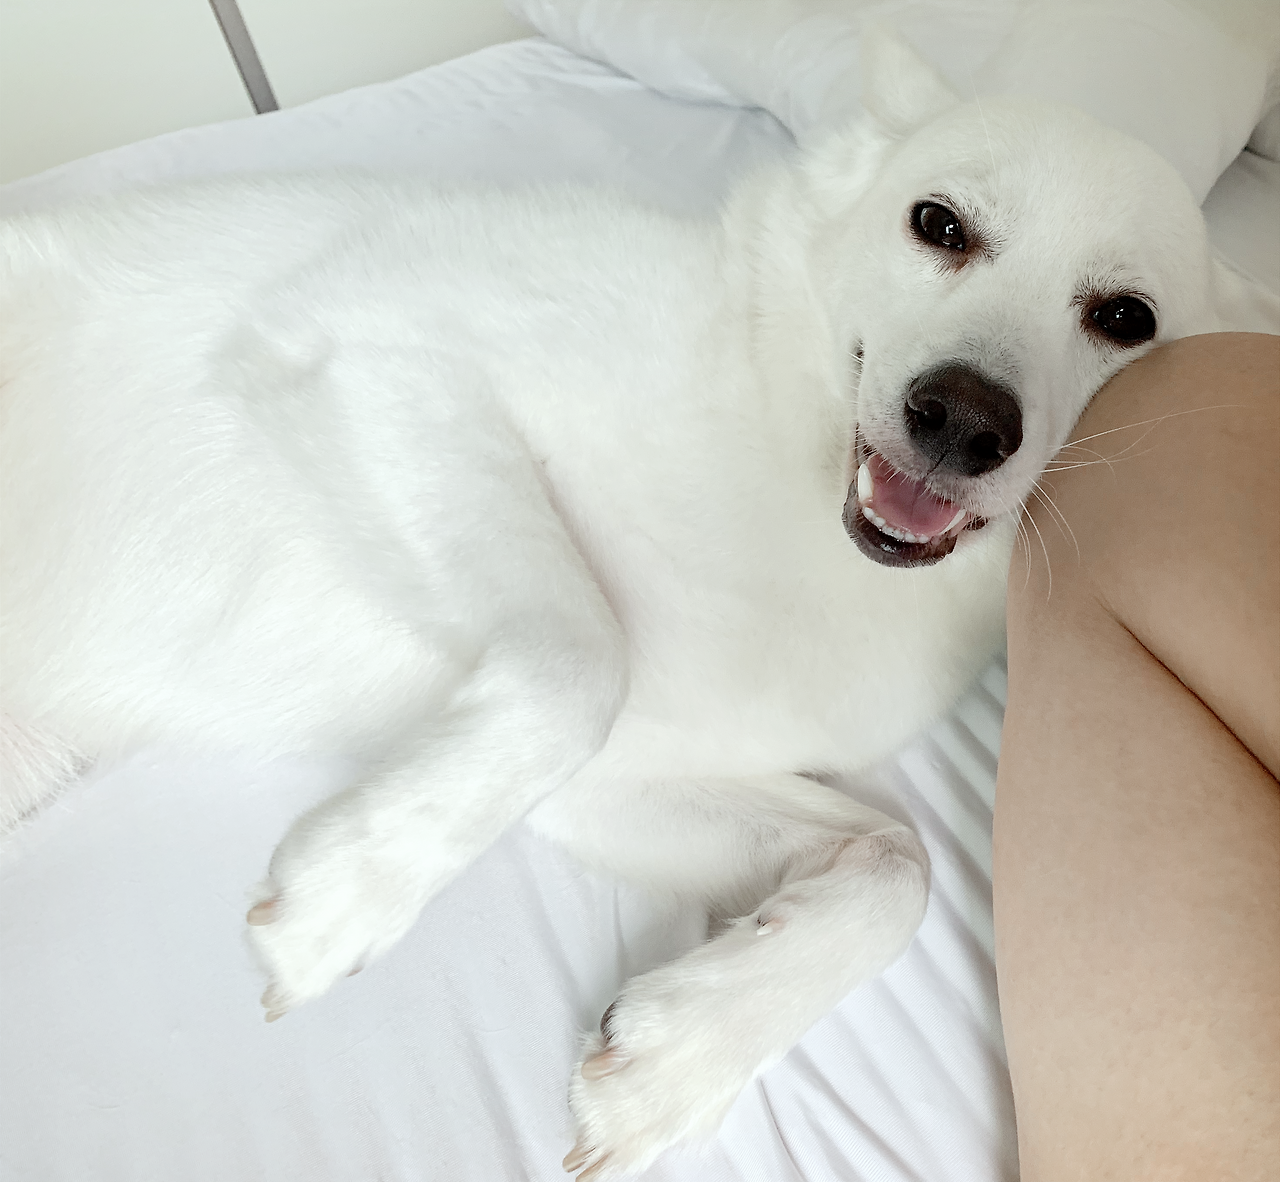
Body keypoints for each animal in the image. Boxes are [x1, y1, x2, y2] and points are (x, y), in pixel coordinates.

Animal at [0, 30, 1228, 1179]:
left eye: (1125, 317)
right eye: (938, 224)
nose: (962, 422)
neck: (774, 453)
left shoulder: (624, 777)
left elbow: (898, 864)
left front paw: (680, 1057)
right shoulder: (372, 360)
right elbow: (578, 666)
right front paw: (354, 891)